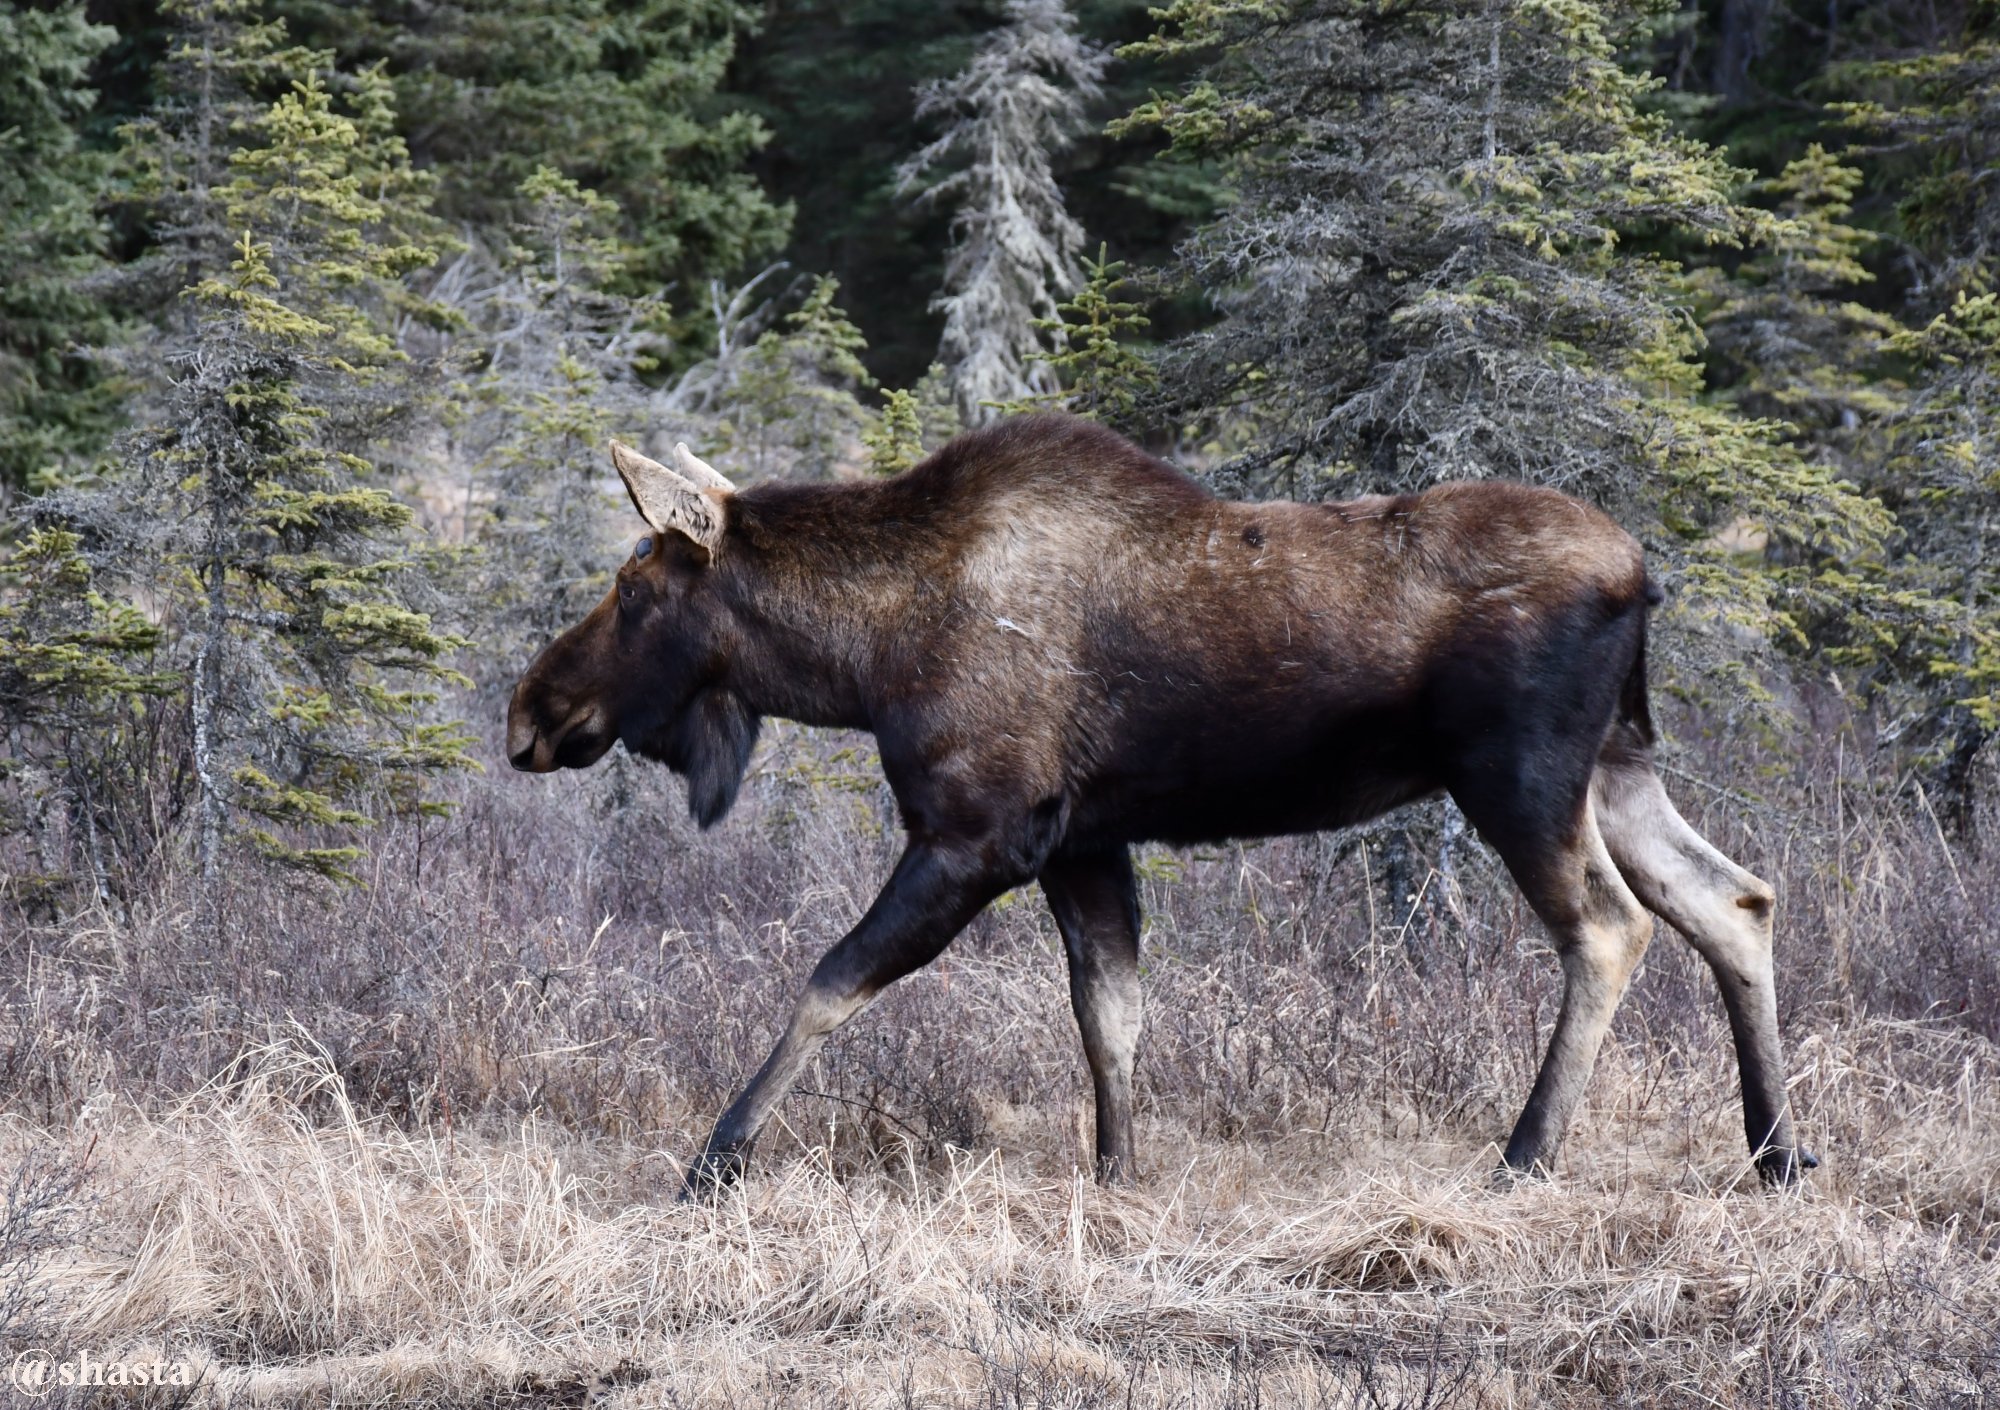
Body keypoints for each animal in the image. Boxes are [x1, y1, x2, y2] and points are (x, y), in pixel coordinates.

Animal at [512, 412, 1816, 1192]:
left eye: (634, 586)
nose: (531, 708)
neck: (859, 657)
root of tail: (1641, 572)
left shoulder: (976, 832)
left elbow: (830, 979)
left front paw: (714, 1161)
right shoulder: (1083, 840)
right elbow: (1112, 1015)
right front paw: (1116, 1174)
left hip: (1518, 773)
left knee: (1609, 927)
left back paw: (1526, 1154)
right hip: (1617, 764)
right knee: (1733, 899)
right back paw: (1776, 1152)